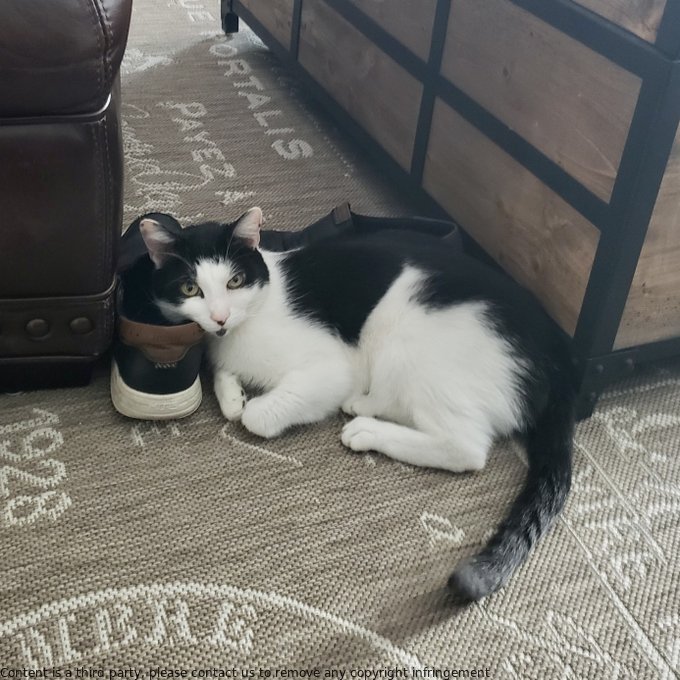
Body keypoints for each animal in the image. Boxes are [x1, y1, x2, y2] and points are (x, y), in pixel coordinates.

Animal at [141, 207, 576, 600]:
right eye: (190, 289)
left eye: (235, 281)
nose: (219, 317)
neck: (248, 320)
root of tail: (560, 364)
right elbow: (224, 380)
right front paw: (233, 392)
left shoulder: (331, 367)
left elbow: (256, 416)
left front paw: (250, 406)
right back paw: (365, 406)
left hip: (411, 342)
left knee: (465, 446)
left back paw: (365, 429)